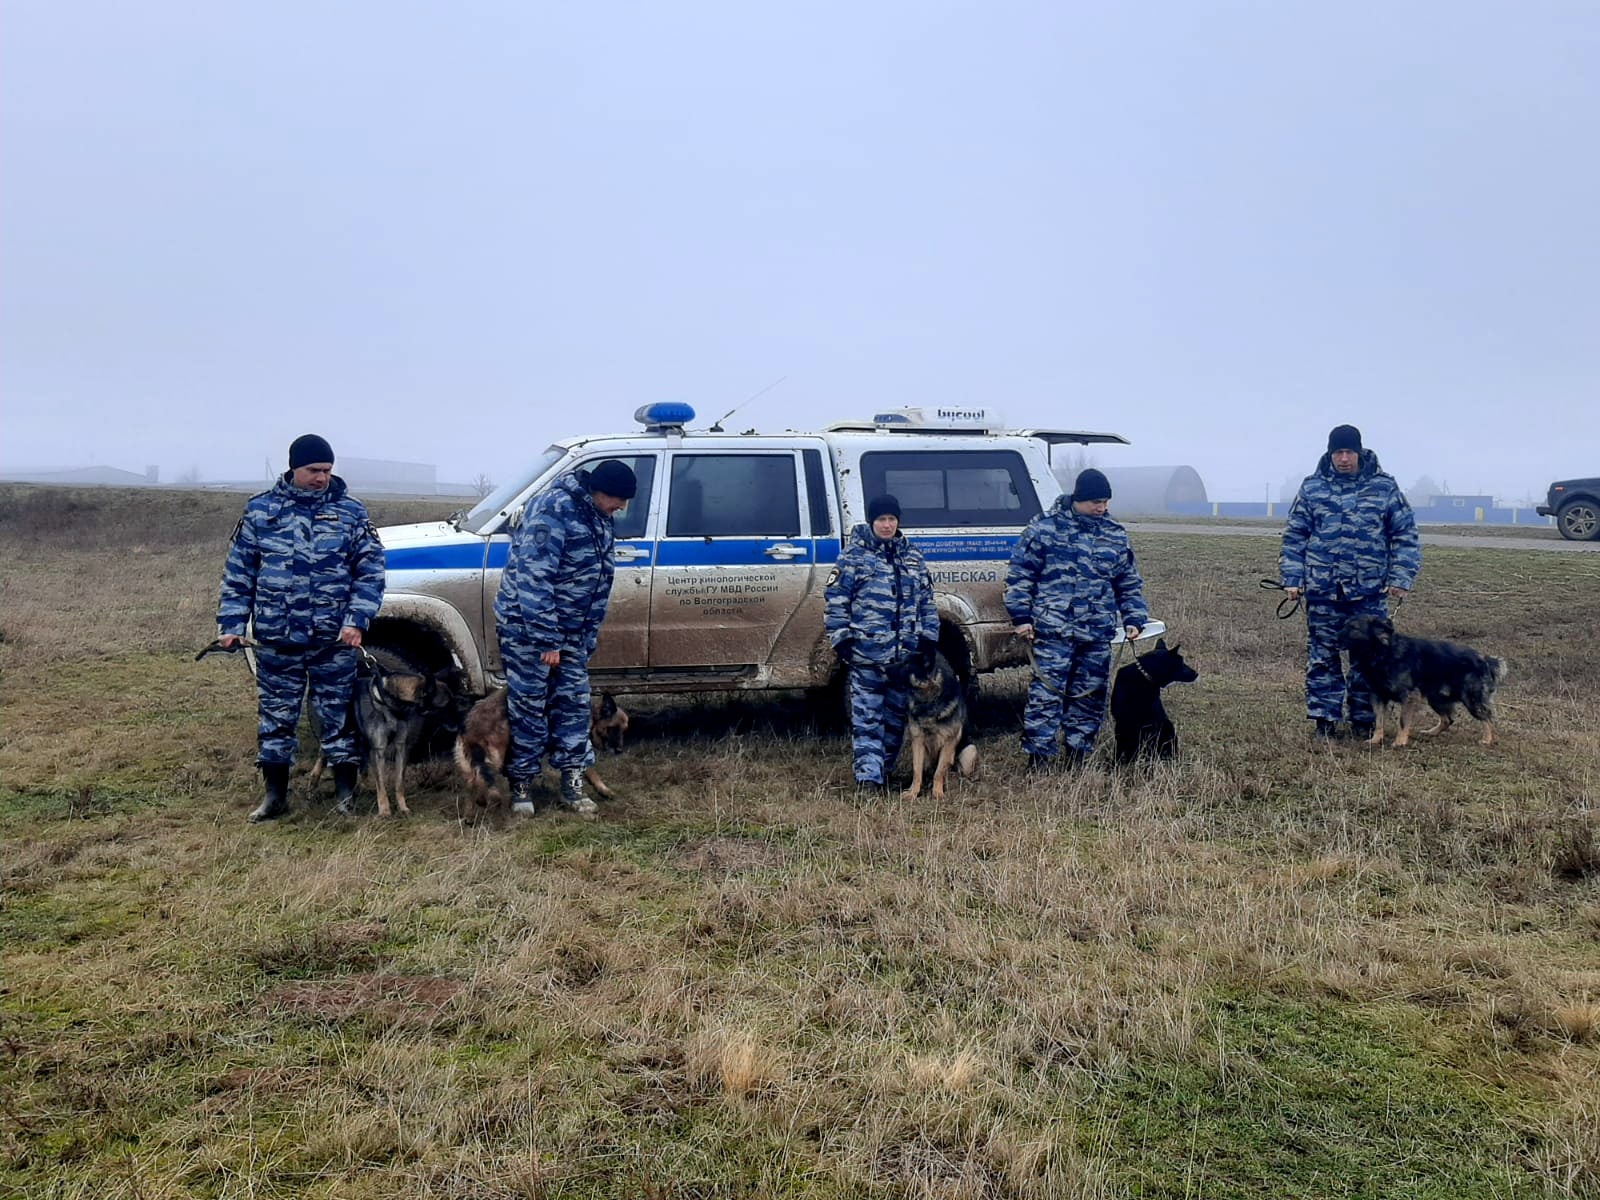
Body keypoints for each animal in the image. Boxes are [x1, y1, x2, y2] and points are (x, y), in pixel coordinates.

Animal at [457, 691, 624, 812]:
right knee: (482, 781)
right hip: (494, 758)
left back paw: (470, 815)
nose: (620, 750)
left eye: (623, 729)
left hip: (469, 764)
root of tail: (468, 723)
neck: (591, 714)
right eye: (613, 728)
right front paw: (603, 790)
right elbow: (589, 771)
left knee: (470, 785)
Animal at [902, 652, 972, 803]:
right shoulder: (918, 741)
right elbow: (917, 771)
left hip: (969, 754)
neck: (929, 703)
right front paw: (913, 793)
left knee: (952, 769)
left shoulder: (948, 743)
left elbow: (939, 772)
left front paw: (937, 793)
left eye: (906, 665)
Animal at [1344, 614, 1504, 748]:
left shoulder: (1408, 697)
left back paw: (1487, 739)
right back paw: (1431, 732)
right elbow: (1379, 721)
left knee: (1487, 718)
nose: (1338, 637)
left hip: (1471, 700)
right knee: (1448, 719)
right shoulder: (1378, 696)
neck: (1384, 652)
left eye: (1354, 628)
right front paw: (1376, 739)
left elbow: (1402, 721)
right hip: (1436, 699)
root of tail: (1486, 660)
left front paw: (1400, 741)